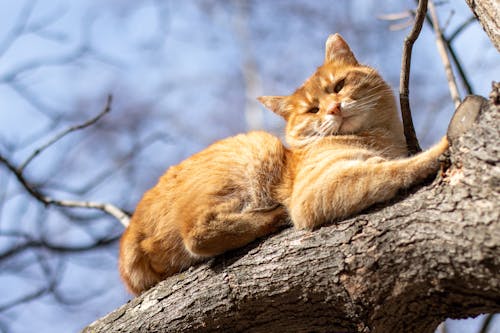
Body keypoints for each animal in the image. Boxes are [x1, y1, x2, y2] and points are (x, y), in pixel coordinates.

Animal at [118, 33, 450, 294]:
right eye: (312, 109)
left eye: (339, 86)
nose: (334, 108)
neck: (380, 136)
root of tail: (130, 233)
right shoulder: (316, 190)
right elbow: (393, 169)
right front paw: (441, 148)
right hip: (257, 146)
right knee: (197, 235)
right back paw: (273, 216)